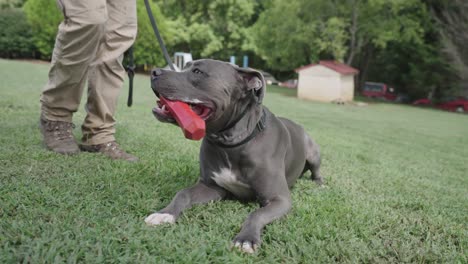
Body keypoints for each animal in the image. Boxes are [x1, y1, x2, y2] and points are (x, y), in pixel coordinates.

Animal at [146, 59, 322, 254]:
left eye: (198, 72)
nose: (154, 72)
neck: (231, 143)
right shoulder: (212, 187)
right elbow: (183, 193)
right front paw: (165, 213)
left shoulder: (279, 199)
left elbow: (257, 213)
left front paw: (246, 239)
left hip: (314, 152)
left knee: (316, 170)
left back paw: (319, 183)